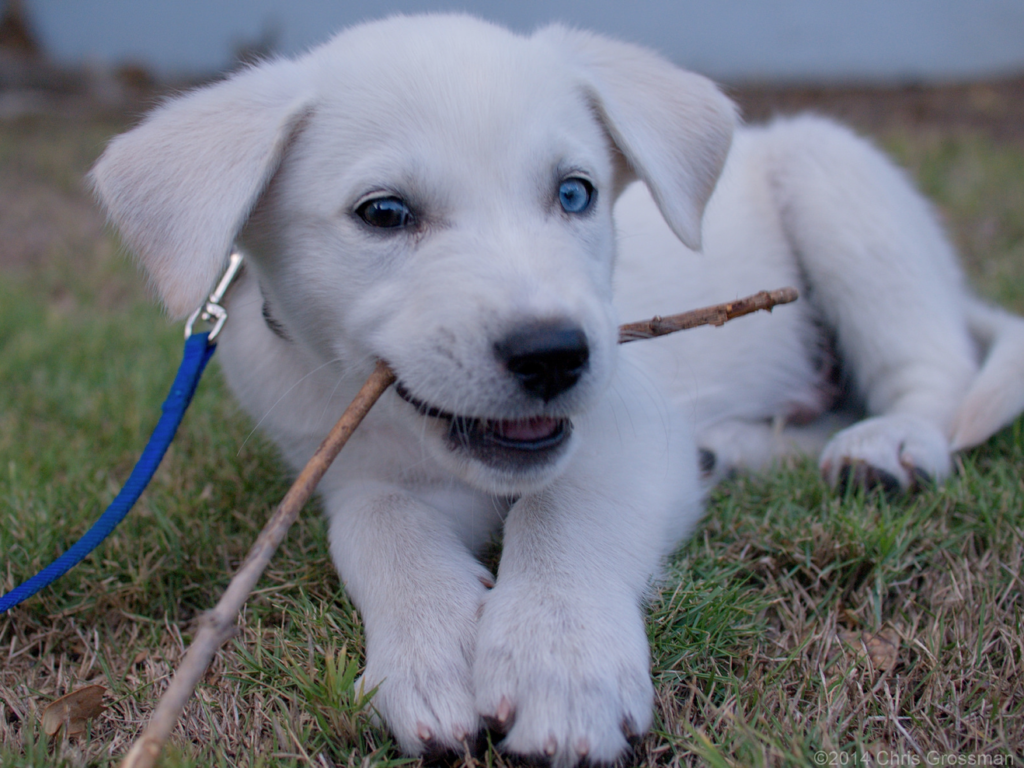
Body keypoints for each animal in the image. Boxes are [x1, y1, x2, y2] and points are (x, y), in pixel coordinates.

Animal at [88, 13, 1024, 768]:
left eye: (575, 193)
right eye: (383, 214)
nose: (553, 356)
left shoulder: (625, 420)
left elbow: (563, 508)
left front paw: (561, 665)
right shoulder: (352, 469)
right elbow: (377, 528)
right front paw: (433, 650)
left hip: (838, 184)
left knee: (931, 373)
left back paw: (888, 444)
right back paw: (731, 448)